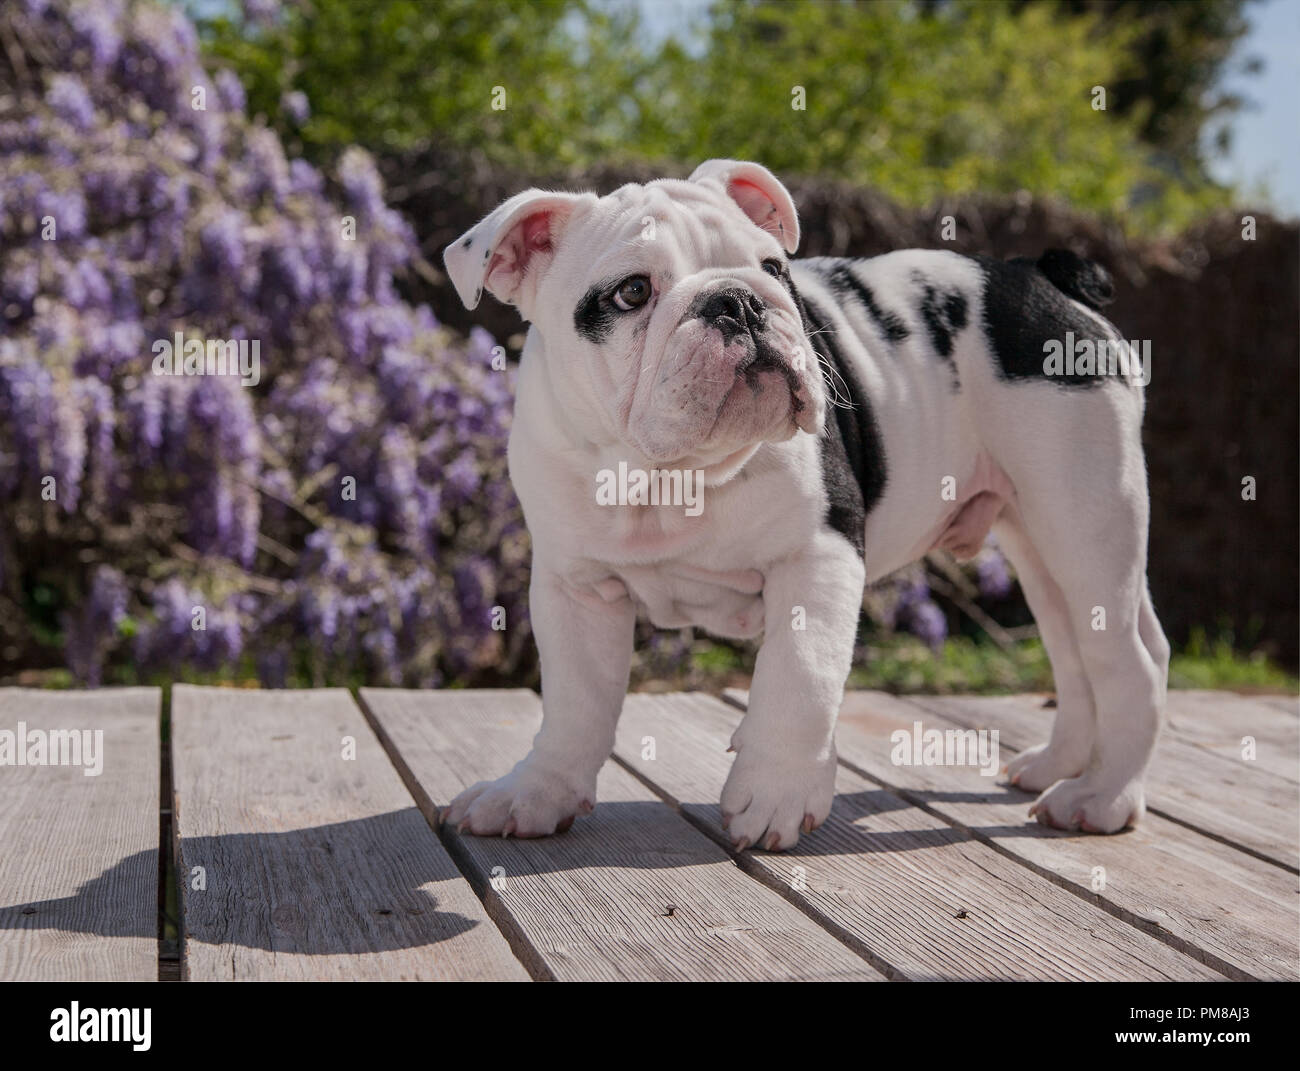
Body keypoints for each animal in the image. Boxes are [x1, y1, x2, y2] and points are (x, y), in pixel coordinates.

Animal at [439, 154, 1170, 847]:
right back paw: (1057, 765)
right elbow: (573, 703)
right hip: (1040, 541)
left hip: (1083, 515)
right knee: (1076, 650)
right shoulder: (576, 589)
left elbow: (799, 679)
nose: (738, 300)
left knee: (1127, 662)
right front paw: (536, 793)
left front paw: (775, 793)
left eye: (772, 267)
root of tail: (1039, 275)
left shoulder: (818, 556)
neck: (673, 474)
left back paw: (1101, 796)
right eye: (632, 292)